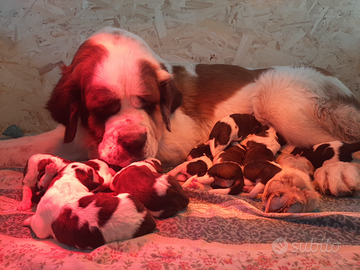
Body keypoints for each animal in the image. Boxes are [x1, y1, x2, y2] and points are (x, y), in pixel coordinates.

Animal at [0, 26, 360, 196]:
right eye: (103, 108)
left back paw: (335, 171)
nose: (132, 142)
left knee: (337, 143)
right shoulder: (73, 135)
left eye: (147, 104)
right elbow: (25, 145)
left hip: (281, 100)